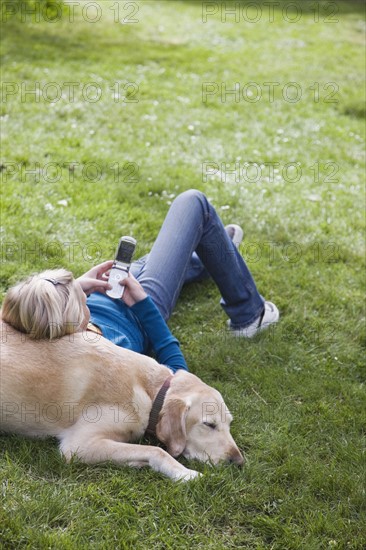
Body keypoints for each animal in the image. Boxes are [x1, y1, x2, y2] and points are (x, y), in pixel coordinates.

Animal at [2, 322, 246, 480]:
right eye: (209, 424)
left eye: (229, 424)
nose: (239, 463)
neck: (151, 392)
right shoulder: (79, 445)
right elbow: (157, 451)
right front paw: (185, 473)